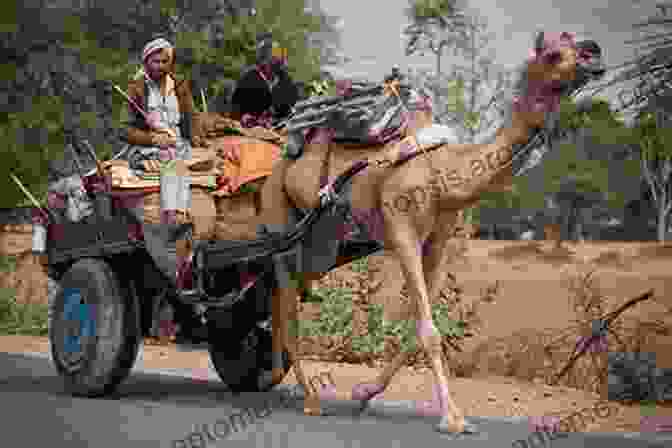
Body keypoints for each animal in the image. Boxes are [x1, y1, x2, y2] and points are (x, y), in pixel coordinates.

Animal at [260, 30, 608, 434]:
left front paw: (363, 392)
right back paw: (310, 398)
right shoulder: (401, 231)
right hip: (278, 213)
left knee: (282, 291)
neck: (443, 173)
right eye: (553, 54)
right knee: (285, 297)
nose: (594, 53)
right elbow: (428, 328)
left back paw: (272, 376)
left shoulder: (439, 239)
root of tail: (282, 153)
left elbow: (421, 326)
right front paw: (453, 418)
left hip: (319, 236)